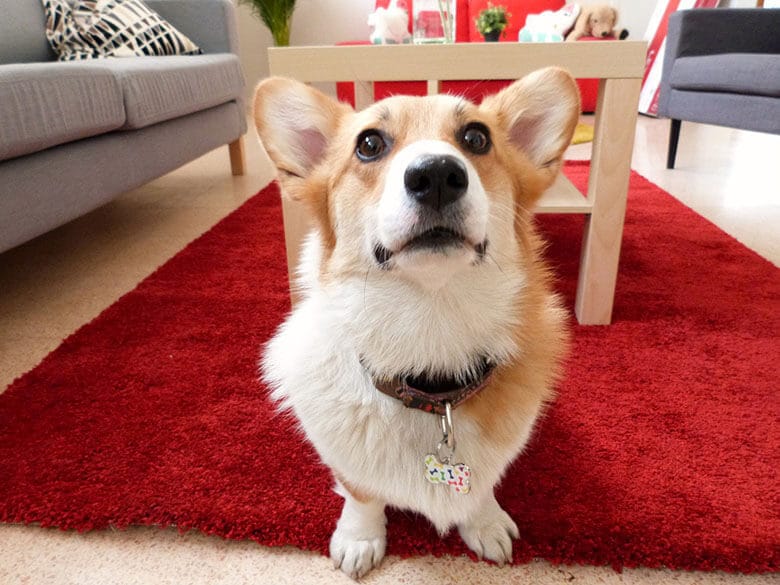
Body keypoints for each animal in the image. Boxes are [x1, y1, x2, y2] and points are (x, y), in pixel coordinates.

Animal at [254, 67, 580, 576]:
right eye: (369, 144)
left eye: (476, 138)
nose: (437, 174)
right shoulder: (347, 464)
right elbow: (361, 493)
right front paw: (360, 538)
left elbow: (483, 484)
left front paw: (485, 523)